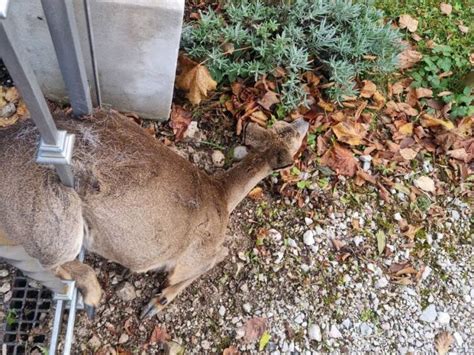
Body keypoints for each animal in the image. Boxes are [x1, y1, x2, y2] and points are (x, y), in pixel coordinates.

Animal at [0, 110, 310, 318]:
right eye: (294, 135)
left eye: (283, 125)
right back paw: (92, 298)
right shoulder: (196, 254)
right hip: (53, 217)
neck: (222, 197)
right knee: (48, 260)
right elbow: (214, 258)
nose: (305, 120)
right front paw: (157, 301)